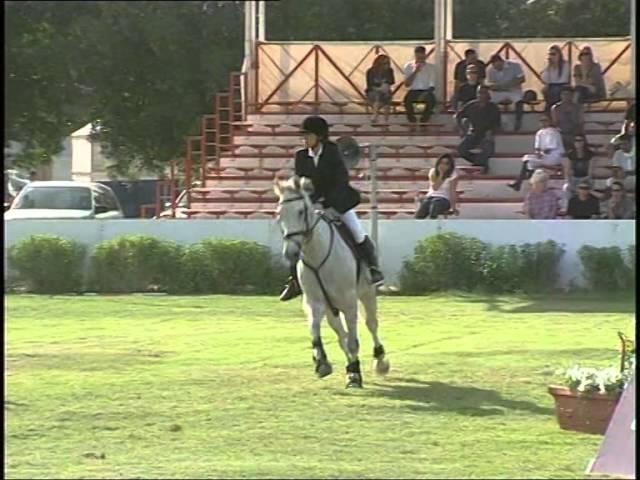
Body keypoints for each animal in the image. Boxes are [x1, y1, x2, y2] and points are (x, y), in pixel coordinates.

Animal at [272, 174, 388, 388]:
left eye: (301, 212)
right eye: (279, 214)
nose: (290, 253)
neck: (317, 253)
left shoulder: (349, 301)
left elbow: (353, 341)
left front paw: (355, 376)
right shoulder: (314, 302)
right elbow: (315, 330)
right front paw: (322, 364)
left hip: (367, 293)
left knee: (371, 324)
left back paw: (380, 362)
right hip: (330, 307)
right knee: (341, 335)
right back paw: (349, 367)